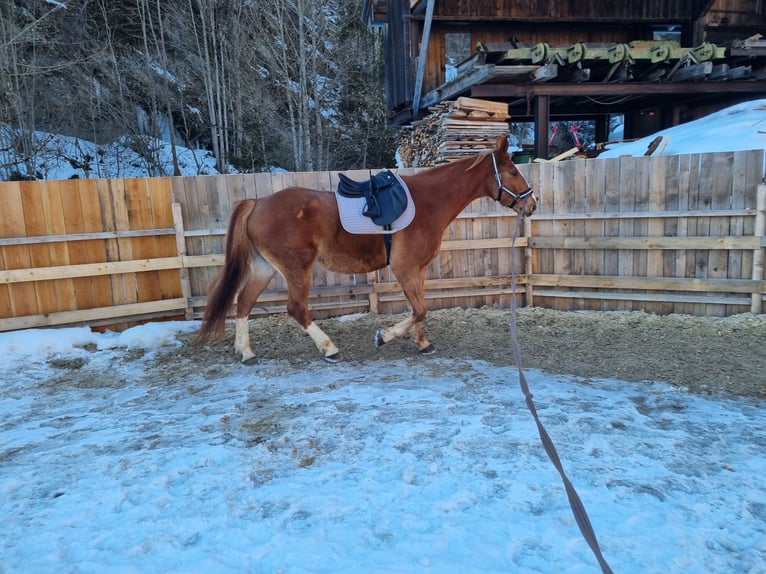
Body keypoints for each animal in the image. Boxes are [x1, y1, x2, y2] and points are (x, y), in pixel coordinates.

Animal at [195, 136, 536, 364]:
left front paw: (422, 343)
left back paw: (246, 352)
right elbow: (420, 309)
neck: (428, 201)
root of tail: (258, 203)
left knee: (244, 302)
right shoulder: (404, 269)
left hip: (265, 267)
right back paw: (329, 348)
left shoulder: (418, 270)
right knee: (296, 308)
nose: (532, 204)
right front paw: (384, 337)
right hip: (296, 267)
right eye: (513, 172)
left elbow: (419, 309)